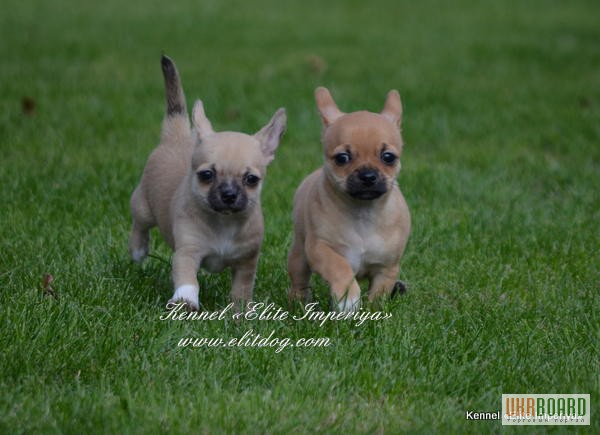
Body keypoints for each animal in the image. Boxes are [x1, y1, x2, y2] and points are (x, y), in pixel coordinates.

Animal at [128, 56, 286, 312]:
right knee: (139, 225)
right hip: (143, 206)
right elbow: (187, 278)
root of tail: (179, 135)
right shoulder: (187, 252)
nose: (229, 194)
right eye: (206, 175)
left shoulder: (246, 261)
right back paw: (138, 250)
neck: (224, 223)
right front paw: (185, 300)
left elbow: (242, 287)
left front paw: (241, 310)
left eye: (251, 179)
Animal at [288, 87, 410, 314]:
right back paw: (298, 303)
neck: (363, 212)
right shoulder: (320, 249)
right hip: (299, 254)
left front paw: (373, 312)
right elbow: (339, 267)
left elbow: (379, 293)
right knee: (299, 281)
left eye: (388, 157)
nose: (368, 176)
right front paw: (348, 299)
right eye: (342, 158)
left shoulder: (387, 267)